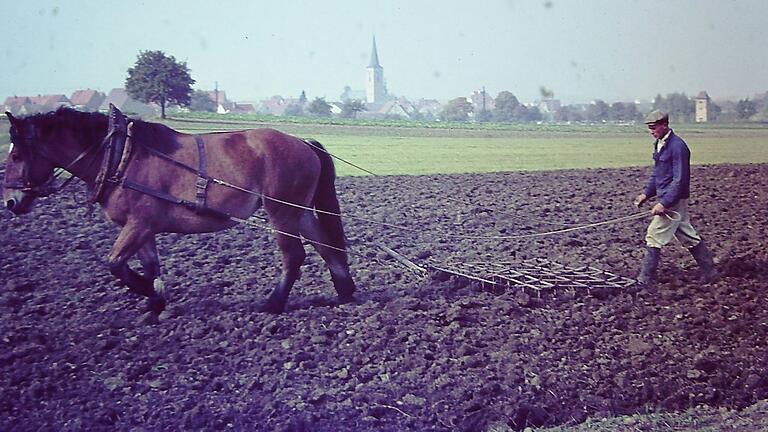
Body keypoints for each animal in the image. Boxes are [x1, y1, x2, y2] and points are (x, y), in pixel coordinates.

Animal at [3, 106, 356, 318]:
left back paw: (273, 303)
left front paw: (148, 290)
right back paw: (345, 291)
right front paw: (155, 301)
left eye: (17, 155)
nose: (10, 201)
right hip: (300, 211)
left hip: (280, 211)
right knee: (326, 246)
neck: (120, 157)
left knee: (294, 256)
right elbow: (150, 265)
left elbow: (115, 263)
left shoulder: (138, 224)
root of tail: (303, 143)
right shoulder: (143, 228)